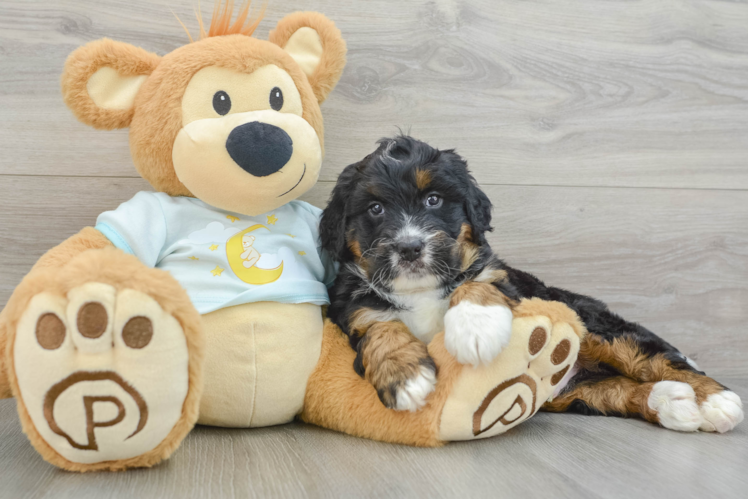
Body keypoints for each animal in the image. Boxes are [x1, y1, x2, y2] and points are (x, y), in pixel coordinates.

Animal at [320, 136, 744, 434]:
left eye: (434, 200)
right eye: (375, 209)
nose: (410, 247)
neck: (420, 289)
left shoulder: (504, 280)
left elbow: (478, 285)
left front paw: (475, 329)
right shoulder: (352, 304)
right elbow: (379, 325)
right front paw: (405, 377)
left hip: (590, 322)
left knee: (651, 357)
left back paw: (716, 400)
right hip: (571, 393)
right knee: (618, 389)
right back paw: (671, 402)